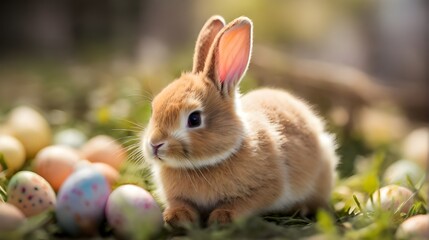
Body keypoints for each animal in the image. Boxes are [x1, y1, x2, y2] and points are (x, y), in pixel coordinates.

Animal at [140, 15, 338, 227]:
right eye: (154, 108)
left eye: (194, 119)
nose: (154, 144)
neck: (204, 165)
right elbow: (180, 203)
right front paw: (176, 217)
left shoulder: (266, 188)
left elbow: (244, 203)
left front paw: (222, 217)